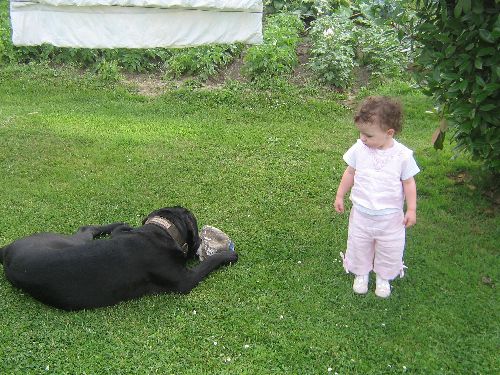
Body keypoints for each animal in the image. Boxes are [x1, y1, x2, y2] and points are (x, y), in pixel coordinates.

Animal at [0, 207, 238, 310]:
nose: (200, 242)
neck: (159, 231)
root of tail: (8, 249)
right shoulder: (184, 281)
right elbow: (208, 264)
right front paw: (228, 255)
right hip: (72, 241)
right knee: (86, 228)